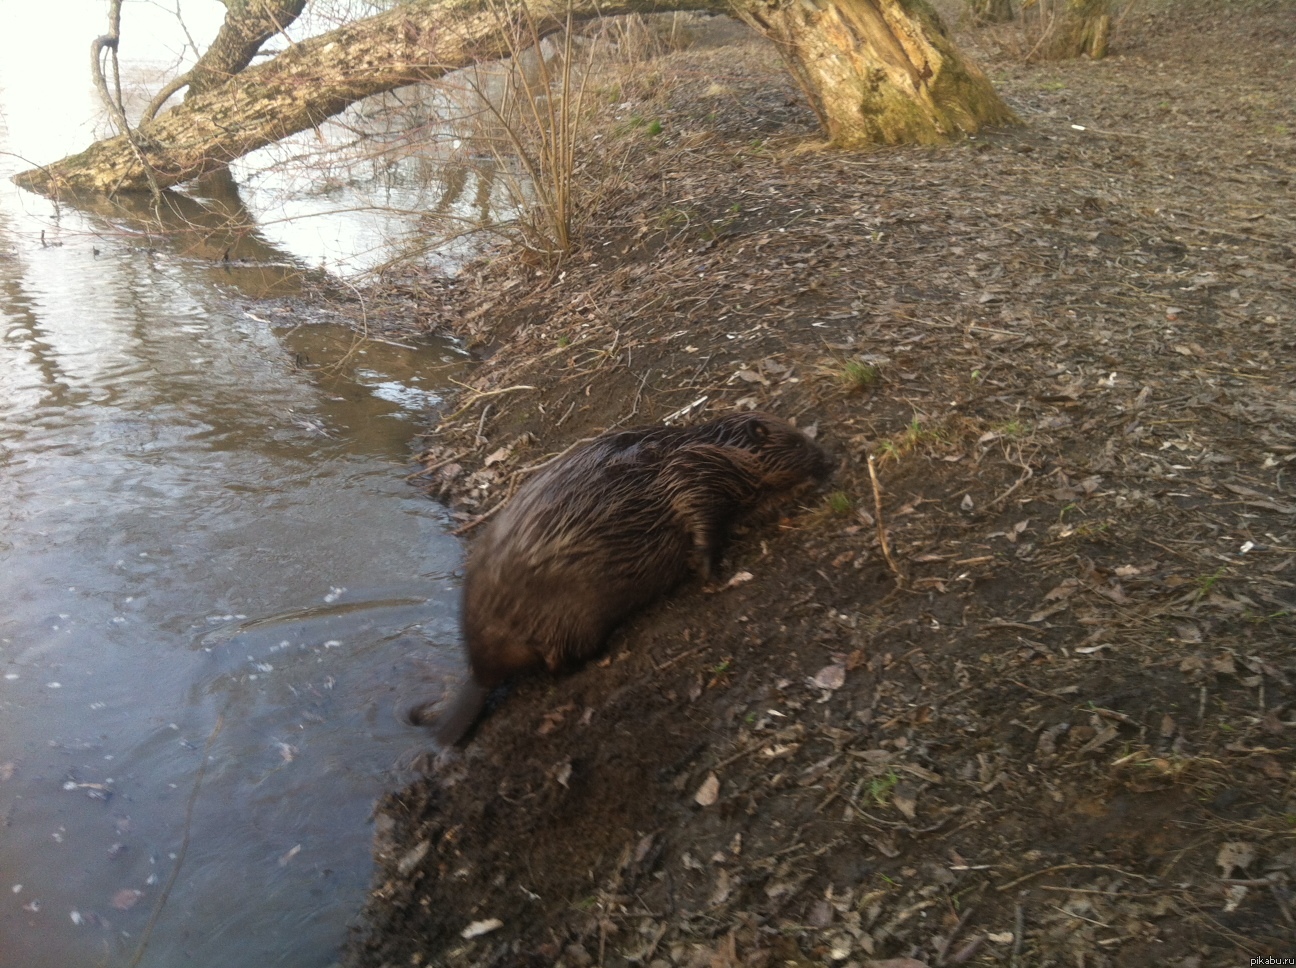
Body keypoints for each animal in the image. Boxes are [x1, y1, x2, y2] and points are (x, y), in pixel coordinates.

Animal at [406, 412, 829, 746]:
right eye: (794, 439)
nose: (827, 457)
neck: (714, 447)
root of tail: (480, 674)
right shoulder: (690, 476)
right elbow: (700, 519)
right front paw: (710, 569)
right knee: (559, 662)